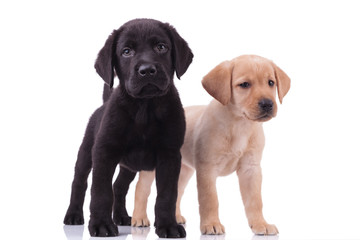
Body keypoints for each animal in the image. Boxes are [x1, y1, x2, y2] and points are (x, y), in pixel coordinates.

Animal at [64, 19, 194, 238]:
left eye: (161, 47)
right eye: (126, 51)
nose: (147, 70)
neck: (144, 109)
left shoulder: (169, 155)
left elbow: (167, 194)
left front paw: (168, 225)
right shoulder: (104, 152)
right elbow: (100, 191)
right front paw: (101, 224)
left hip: (129, 167)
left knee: (119, 186)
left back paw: (122, 216)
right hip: (86, 154)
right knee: (79, 182)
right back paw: (73, 215)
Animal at [131, 55, 292, 235]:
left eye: (271, 83)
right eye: (244, 84)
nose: (267, 104)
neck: (239, 124)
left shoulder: (251, 169)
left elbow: (255, 200)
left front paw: (260, 224)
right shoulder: (207, 169)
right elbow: (210, 199)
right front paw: (211, 224)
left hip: (184, 170)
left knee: (177, 191)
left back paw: (176, 217)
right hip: (152, 168)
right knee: (141, 189)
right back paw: (138, 218)